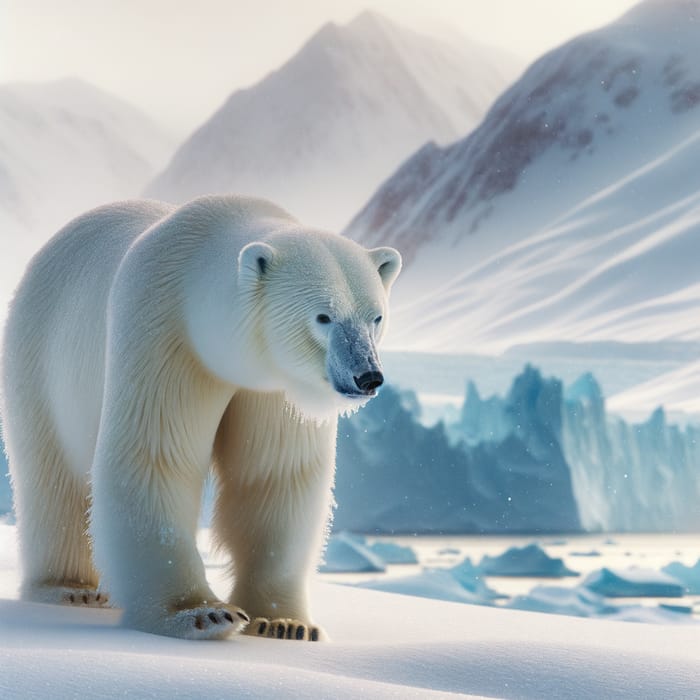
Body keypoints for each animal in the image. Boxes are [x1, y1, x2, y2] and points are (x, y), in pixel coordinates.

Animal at [0, 196, 402, 640]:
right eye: (324, 316)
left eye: (375, 316)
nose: (367, 376)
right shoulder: (164, 334)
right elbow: (155, 459)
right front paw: (204, 614)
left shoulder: (272, 387)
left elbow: (273, 477)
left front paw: (283, 622)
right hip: (40, 360)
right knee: (53, 479)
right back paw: (71, 588)